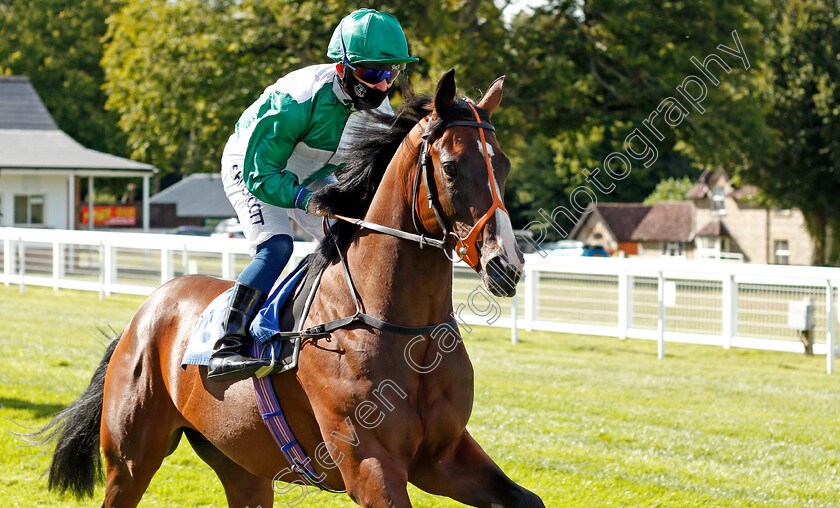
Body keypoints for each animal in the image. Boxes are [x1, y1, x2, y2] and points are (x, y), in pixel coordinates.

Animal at [29, 68, 544, 508]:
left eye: (504, 164)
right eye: (452, 167)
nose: (506, 264)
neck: (402, 327)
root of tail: (144, 314)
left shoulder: (443, 455)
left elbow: (527, 499)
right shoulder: (370, 465)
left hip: (242, 466)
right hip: (131, 459)